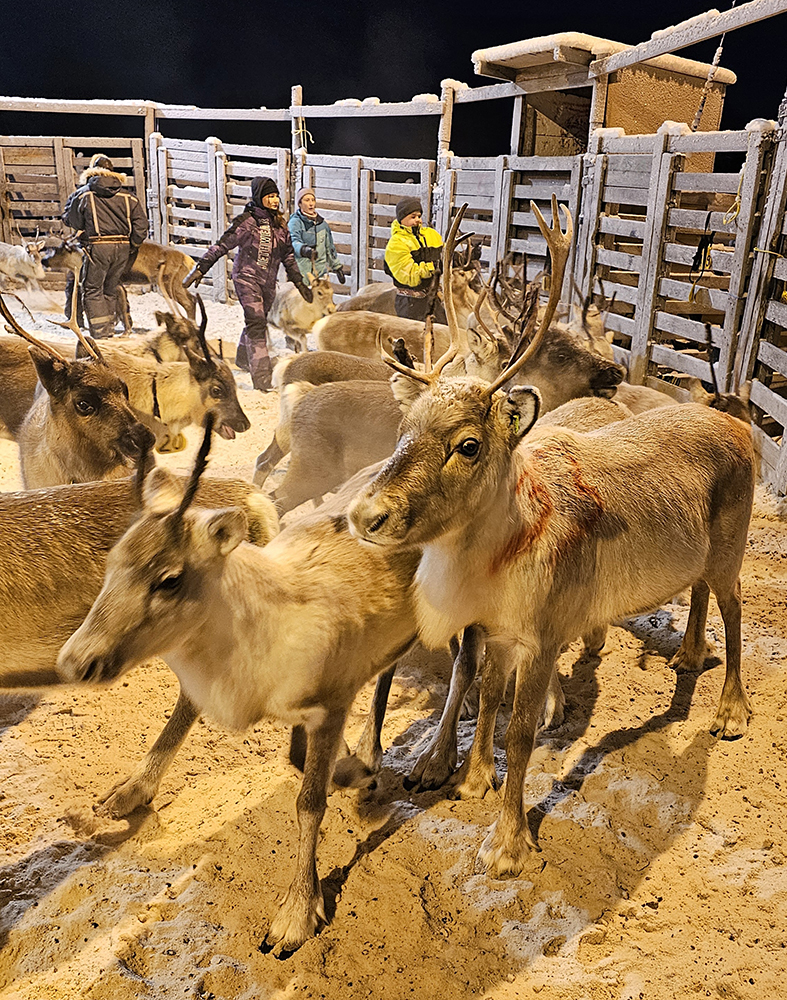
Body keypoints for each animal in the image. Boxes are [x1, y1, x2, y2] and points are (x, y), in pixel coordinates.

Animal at [348, 197, 755, 879]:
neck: (499, 561)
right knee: (699, 592)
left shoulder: (541, 633)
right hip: (698, 553)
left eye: (468, 444)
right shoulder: (494, 628)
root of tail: (738, 424)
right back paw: (688, 655)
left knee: (734, 605)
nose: (365, 514)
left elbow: (518, 732)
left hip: (732, 545)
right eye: (406, 428)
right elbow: (485, 692)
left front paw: (507, 843)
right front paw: (467, 778)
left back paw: (731, 711)